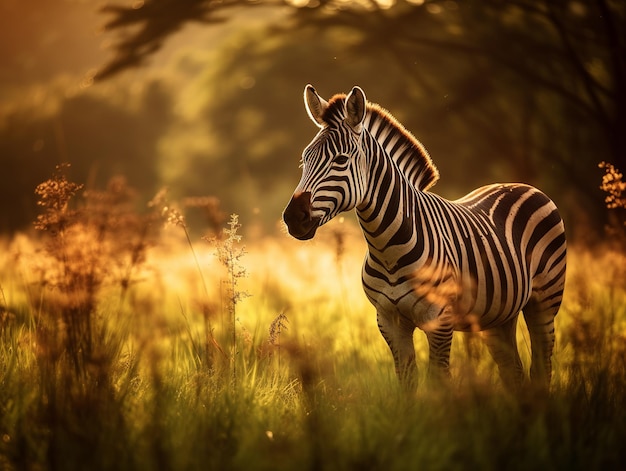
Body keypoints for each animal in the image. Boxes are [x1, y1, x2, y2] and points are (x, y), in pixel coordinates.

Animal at [282, 85, 564, 390]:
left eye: (341, 160)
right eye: (304, 160)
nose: (292, 217)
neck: (387, 249)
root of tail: (522, 185)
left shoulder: (438, 319)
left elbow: (438, 381)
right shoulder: (389, 321)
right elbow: (407, 381)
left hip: (545, 302)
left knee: (542, 367)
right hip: (499, 313)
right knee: (514, 372)